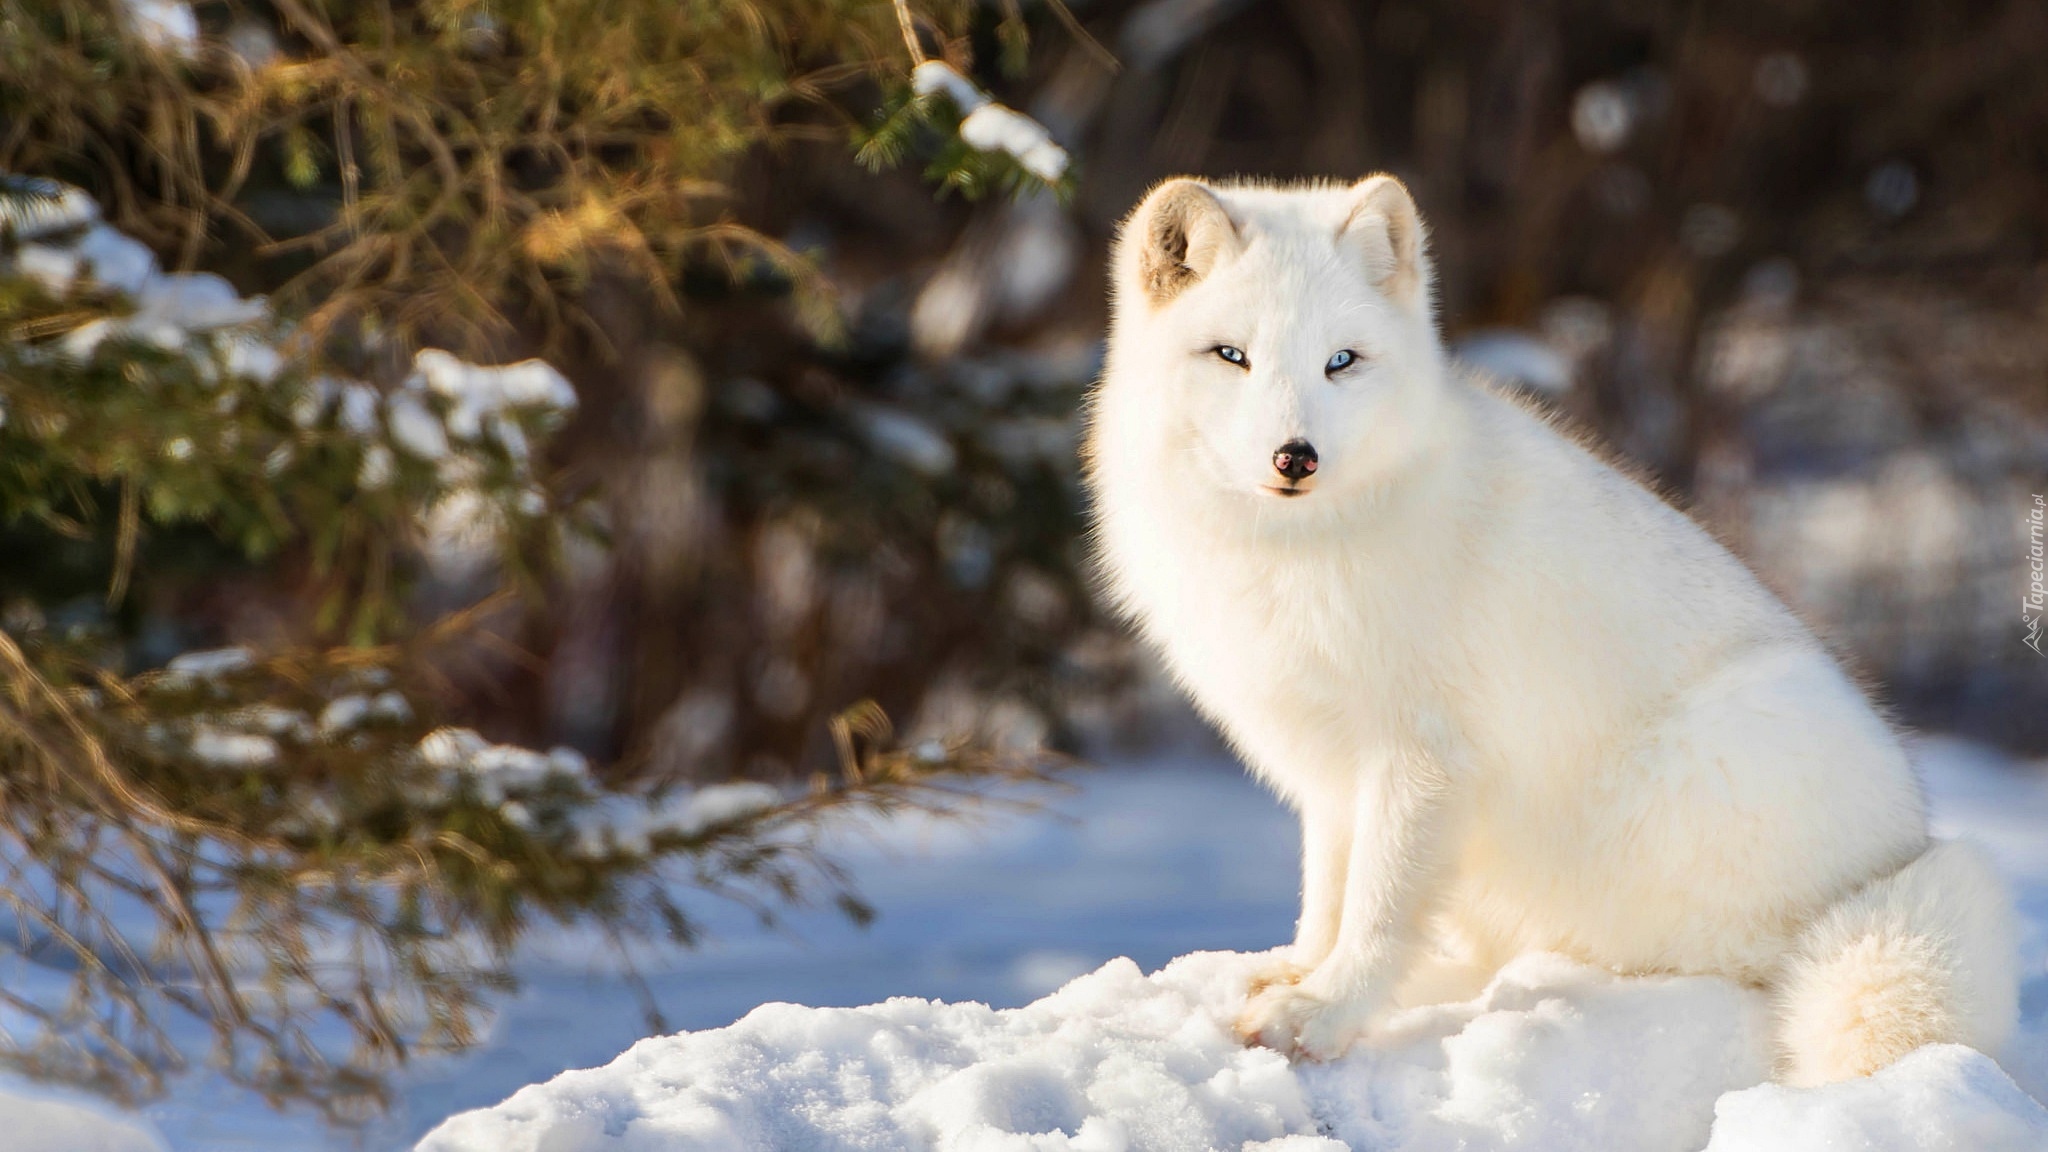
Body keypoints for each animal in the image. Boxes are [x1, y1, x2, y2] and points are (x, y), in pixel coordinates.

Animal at [1089, 175, 2015, 1082]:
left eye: (1340, 361)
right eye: (1231, 355)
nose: (1296, 456)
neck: (1295, 553)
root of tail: (1906, 854)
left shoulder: (1422, 757)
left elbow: (1380, 909)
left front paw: (1324, 1010)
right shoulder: (1332, 764)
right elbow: (1328, 892)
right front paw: (1298, 970)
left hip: (1691, 769)